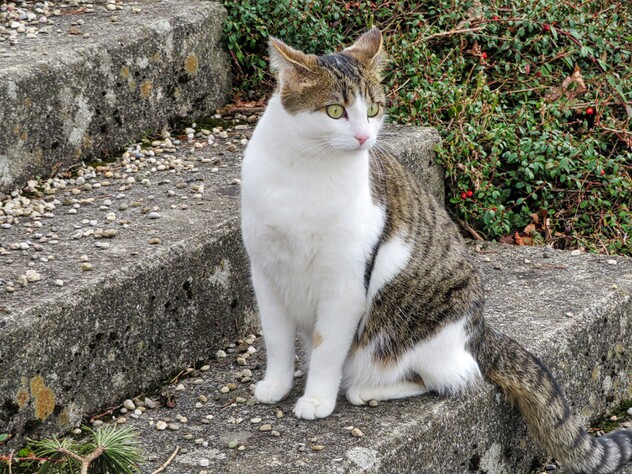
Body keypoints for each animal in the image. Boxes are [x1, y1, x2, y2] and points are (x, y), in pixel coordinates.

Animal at [240, 27, 632, 473]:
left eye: (373, 110)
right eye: (335, 111)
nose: (364, 137)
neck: (306, 170)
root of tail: (480, 330)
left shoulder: (344, 285)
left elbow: (326, 349)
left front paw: (317, 399)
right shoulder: (265, 274)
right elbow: (277, 340)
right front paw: (276, 385)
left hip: (412, 330)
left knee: (448, 378)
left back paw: (364, 388)